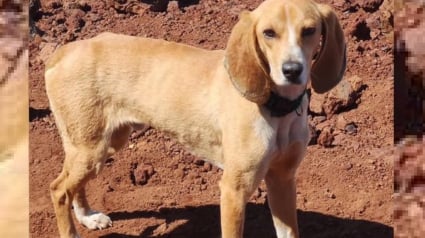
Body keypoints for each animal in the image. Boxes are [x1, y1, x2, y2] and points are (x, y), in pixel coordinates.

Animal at [45, 0, 344, 237]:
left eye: (309, 30)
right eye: (268, 33)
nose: (292, 70)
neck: (277, 107)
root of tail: (64, 51)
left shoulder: (283, 178)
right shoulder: (234, 189)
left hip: (102, 143)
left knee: (73, 185)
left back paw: (86, 216)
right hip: (92, 148)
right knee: (59, 189)